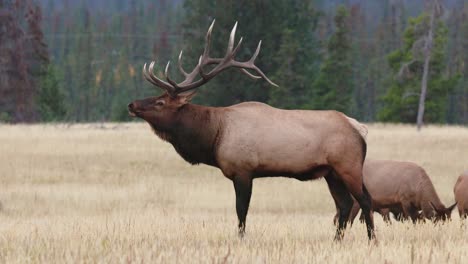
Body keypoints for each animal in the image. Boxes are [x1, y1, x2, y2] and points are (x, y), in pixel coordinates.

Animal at [129, 19, 376, 240]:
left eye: (160, 102)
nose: (132, 104)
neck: (214, 135)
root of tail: (359, 128)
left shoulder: (243, 170)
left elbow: (241, 211)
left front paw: (241, 238)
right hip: (331, 172)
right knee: (344, 204)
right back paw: (337, 240)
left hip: (348, 165)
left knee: (364, 199)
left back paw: (372, 239)